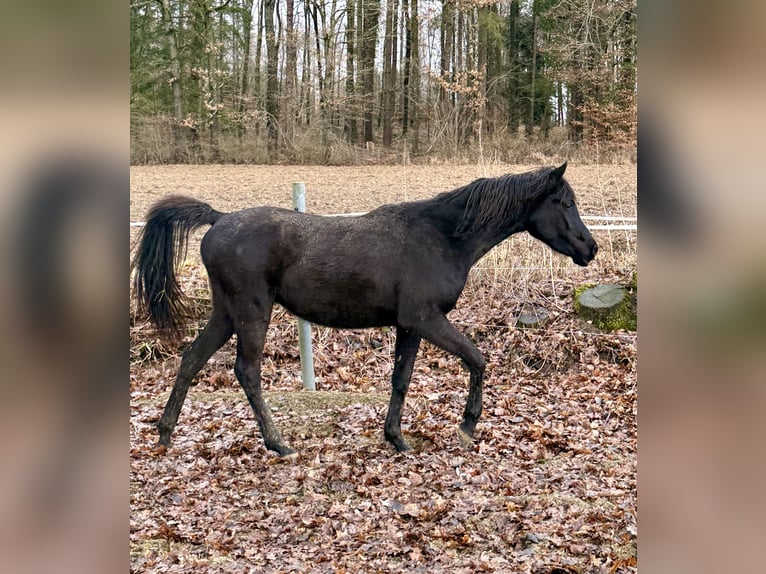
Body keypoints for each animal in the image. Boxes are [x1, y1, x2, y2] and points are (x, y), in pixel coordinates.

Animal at [132, 162, 597, 458]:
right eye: (566, 203)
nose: (590, 248)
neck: (443, 236)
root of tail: (219, 218)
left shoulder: (409, 326)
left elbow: (401, 380)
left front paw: (397, 439)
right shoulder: (426, 319)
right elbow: (478, 359)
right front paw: (467, 427)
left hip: (227, 314)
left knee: (191, 358)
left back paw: (165, 433)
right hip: (251, 313)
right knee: (247, 372)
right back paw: (279, 444)